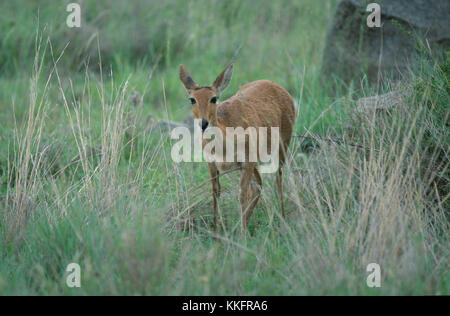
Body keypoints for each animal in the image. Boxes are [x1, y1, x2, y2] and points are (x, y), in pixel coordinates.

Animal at [179, 63, 296, 232]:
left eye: (214, 98)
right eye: (192, 99)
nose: (203, 123)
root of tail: (277, 86)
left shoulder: (247, 162)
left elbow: (241, 195)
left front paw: (242, 234)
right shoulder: (212, 164)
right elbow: (215, 193)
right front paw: (216, 231)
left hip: (281, 148)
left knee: (277, 180)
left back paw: (283, 221)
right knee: (258, 185)